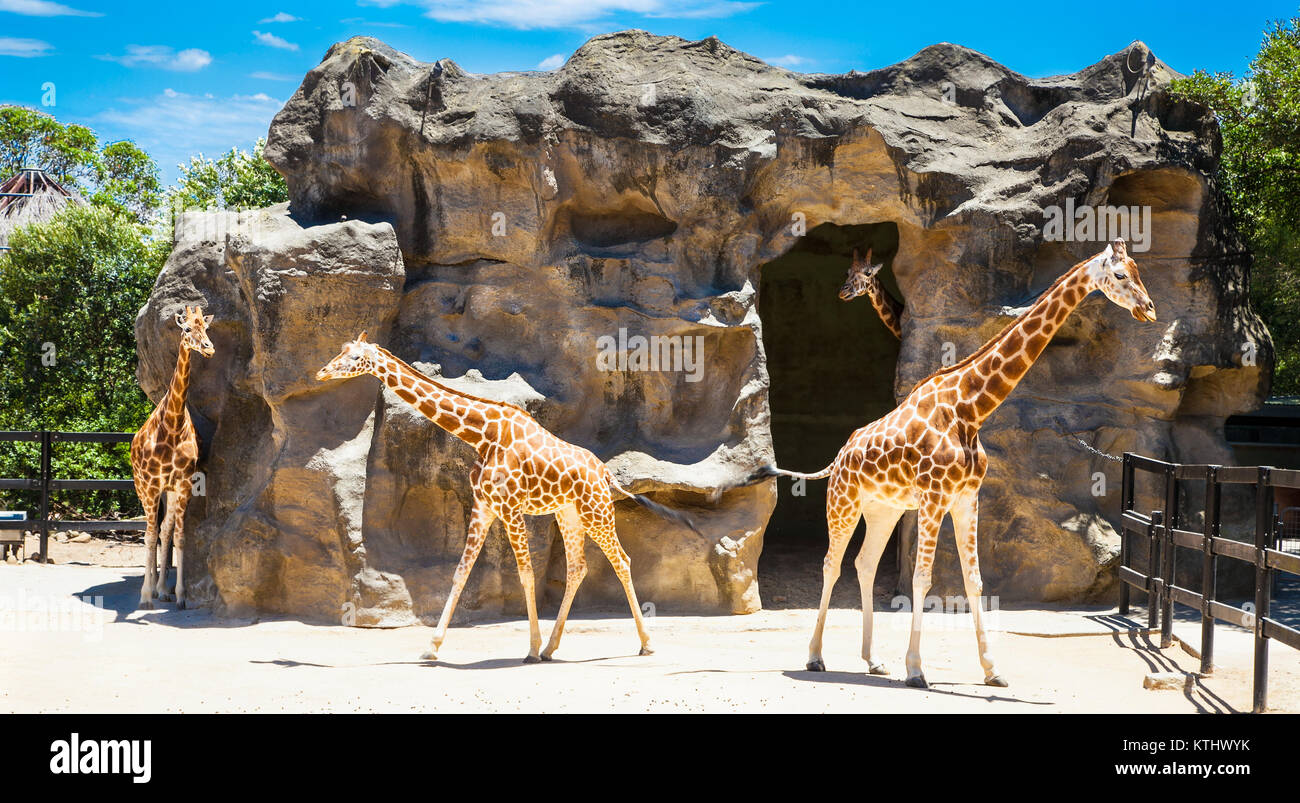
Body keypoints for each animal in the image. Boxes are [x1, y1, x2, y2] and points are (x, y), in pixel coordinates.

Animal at [130, 305, 214, 605]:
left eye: (206, 328)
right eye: (187, 328)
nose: (209, 348)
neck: (173, 425)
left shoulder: (184, 483)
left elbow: (178, 536)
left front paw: (179, 594)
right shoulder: (151, 485)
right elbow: (149, 535)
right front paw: (144, 595)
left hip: (169, 490)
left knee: (164, 530)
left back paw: (162, 590)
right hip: (142, 487)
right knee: (151, 531)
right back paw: (150, 590)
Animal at [315, 335, 702, 660]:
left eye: (354, 357)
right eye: (339, 350)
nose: (321, 371)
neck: (481, 433)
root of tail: (605, 472)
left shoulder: (510, 508)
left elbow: (526, 574)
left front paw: (528, 647)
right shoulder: (483, 507)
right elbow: (460, 573)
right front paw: (432, 647)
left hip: (597, 511)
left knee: (621, 560)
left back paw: (645, 644)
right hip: (568, 514)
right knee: (578, 567)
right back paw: (552, 648)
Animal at [754, 240, 1159, 686]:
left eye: (1139, 271)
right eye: (1120, 275)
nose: (1150, 309)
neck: (970, 408)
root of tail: (840, 455)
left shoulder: (966, 497)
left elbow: (975, 580)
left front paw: (992, 670)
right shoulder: (934, 498)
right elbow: (922, 578)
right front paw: (917, 669)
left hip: (884, 509)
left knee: (864, 563)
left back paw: (872, 660)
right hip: (843, 502)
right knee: (831, 564)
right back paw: (815, 657)